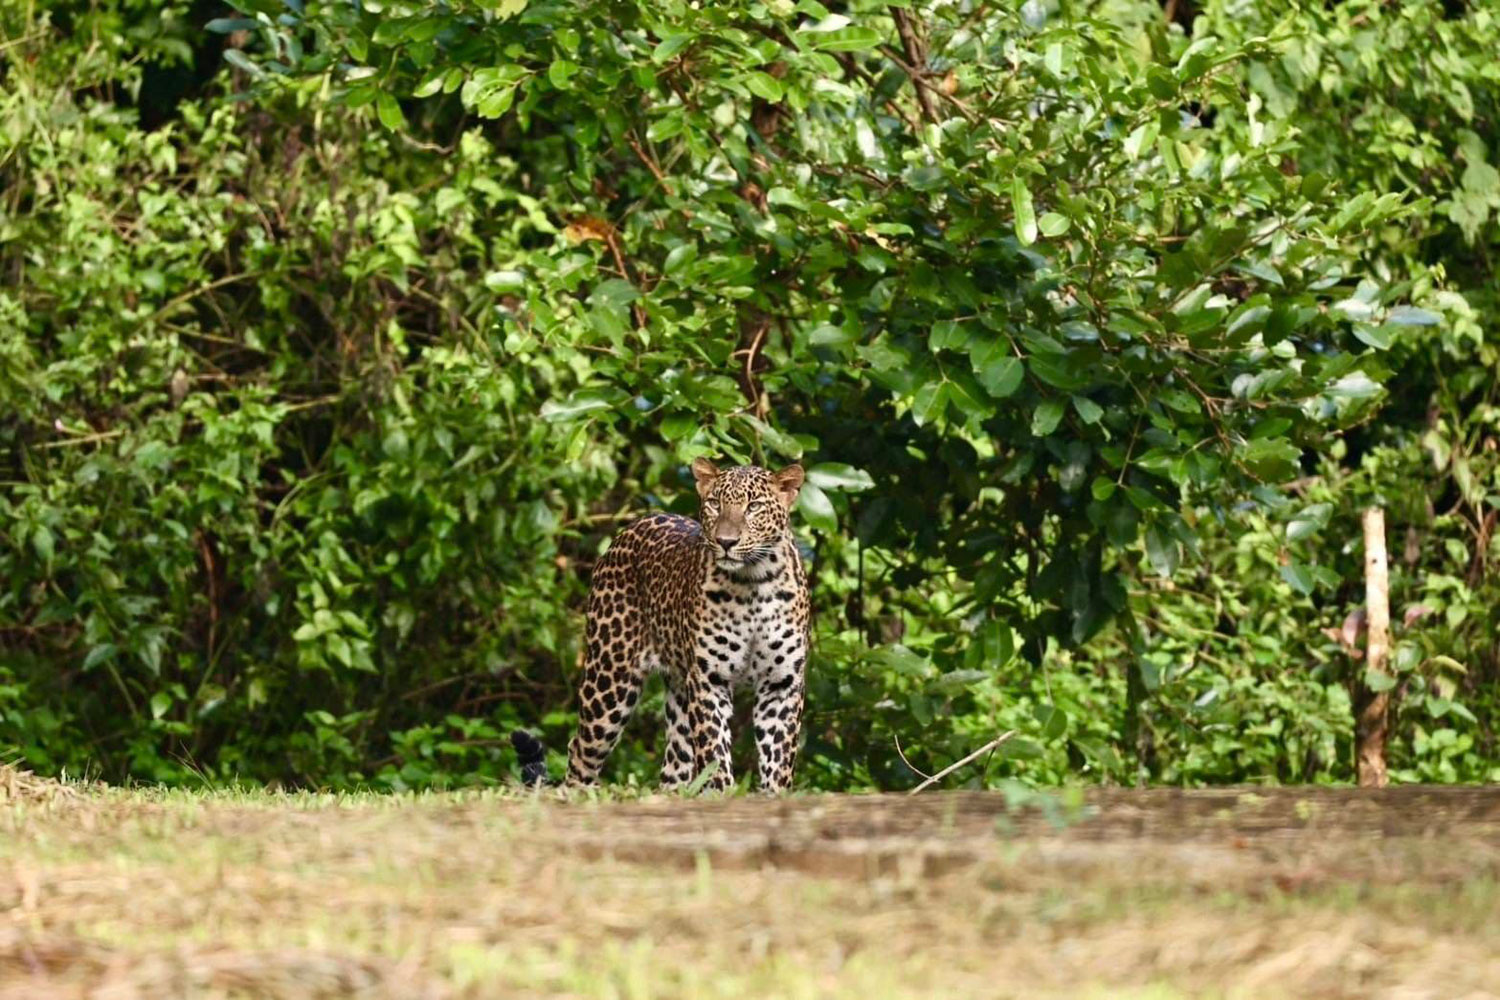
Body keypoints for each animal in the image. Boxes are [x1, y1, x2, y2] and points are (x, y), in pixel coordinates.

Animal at [555, 458, 810, 791]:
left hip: (677, 690)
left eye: (754, 507)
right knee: (581, 749)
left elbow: (778, 761)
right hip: (610, 678)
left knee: (675, 765)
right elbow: (714, 753)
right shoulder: (708, 679)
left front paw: (773, 796)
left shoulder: (782, 684)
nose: (726, 542)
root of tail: (635, 523)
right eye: (715, 504)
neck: (753, 582)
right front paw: (722, 795)